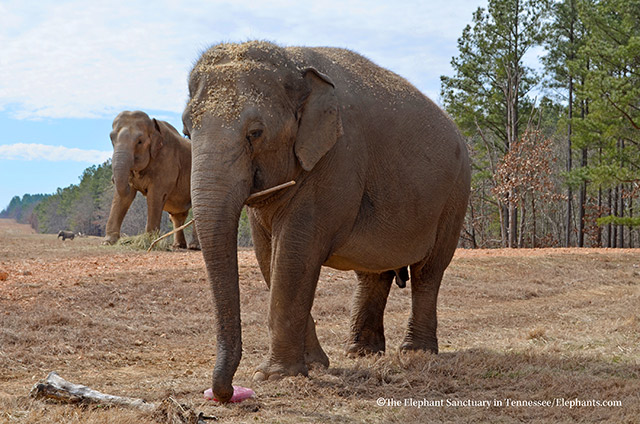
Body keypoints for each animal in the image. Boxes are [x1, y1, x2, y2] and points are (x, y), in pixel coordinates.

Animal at [104, 109, 199, 250]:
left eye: (139, 142)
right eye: (111, 139)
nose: (111, 179)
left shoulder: (167, 161)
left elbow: (155, 196)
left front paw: (148, 242)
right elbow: (122, 198)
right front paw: (108, 242)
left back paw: (194, 246)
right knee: (178, 215)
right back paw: (178, 246)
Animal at [185, 41, 470, 402]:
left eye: (256, 133)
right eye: (186, 131)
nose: (225, 392)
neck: (291, 59)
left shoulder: (336, 161)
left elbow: (294, 255)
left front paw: (274, 375)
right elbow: (269, 258)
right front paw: (314, 365)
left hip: (455, 195)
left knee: (428, 271)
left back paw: (416, 353)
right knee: (373, 274)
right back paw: (361, 353)